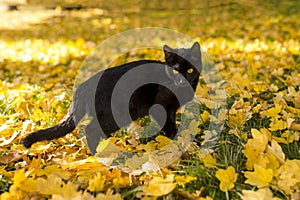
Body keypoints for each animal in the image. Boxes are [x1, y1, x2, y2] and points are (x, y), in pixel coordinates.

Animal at [22, 41, 202, 154]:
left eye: (190, 70)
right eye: (176, 71)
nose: (182, 80)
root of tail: (84, 85)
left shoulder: (171, 110)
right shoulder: (160, 108)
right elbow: (170, 127)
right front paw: (176, 143)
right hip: (116, 115)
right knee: (90, 130)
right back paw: (98, 155)